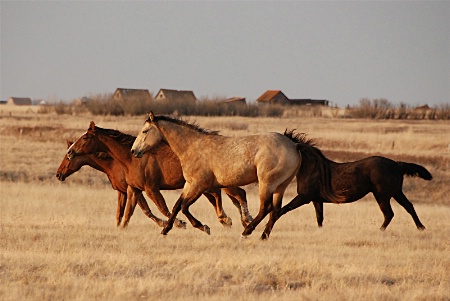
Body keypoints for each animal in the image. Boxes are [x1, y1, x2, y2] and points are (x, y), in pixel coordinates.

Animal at [66, 120, 253, 230]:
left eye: (85, 137)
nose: (70, 152)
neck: (130, 159)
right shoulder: (134, 189)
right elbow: (128, 214)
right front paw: (121, 231)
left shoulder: (151, 189)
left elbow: (162, 208)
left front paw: (179, 224)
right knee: (229, 198)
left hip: (223, 183)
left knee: (238, 195)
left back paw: (239, 220)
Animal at [130, 111, 304, 238]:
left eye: (145, 131)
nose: (133, 151)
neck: (192, 147)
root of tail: (294, 145)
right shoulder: (189, 184)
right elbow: (176, 206)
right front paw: (165, 229)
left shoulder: (200, 185)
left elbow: (185, 207)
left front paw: (203, 227)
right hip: (281, 185)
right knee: (275, 210)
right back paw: (263, 235)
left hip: (267, 183)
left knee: (265, 208)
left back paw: (247, 231)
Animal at [264, 129, 432, 237]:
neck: (313, 168)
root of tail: (397, 165)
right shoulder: (317, 199)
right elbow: (319, 218)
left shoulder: (304, 197)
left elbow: (282, 210)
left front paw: (266, 230)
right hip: (396, 192)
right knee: (409, 207)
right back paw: (421, 228)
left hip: (382, 195)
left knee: (389, 213)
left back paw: (379, 231)